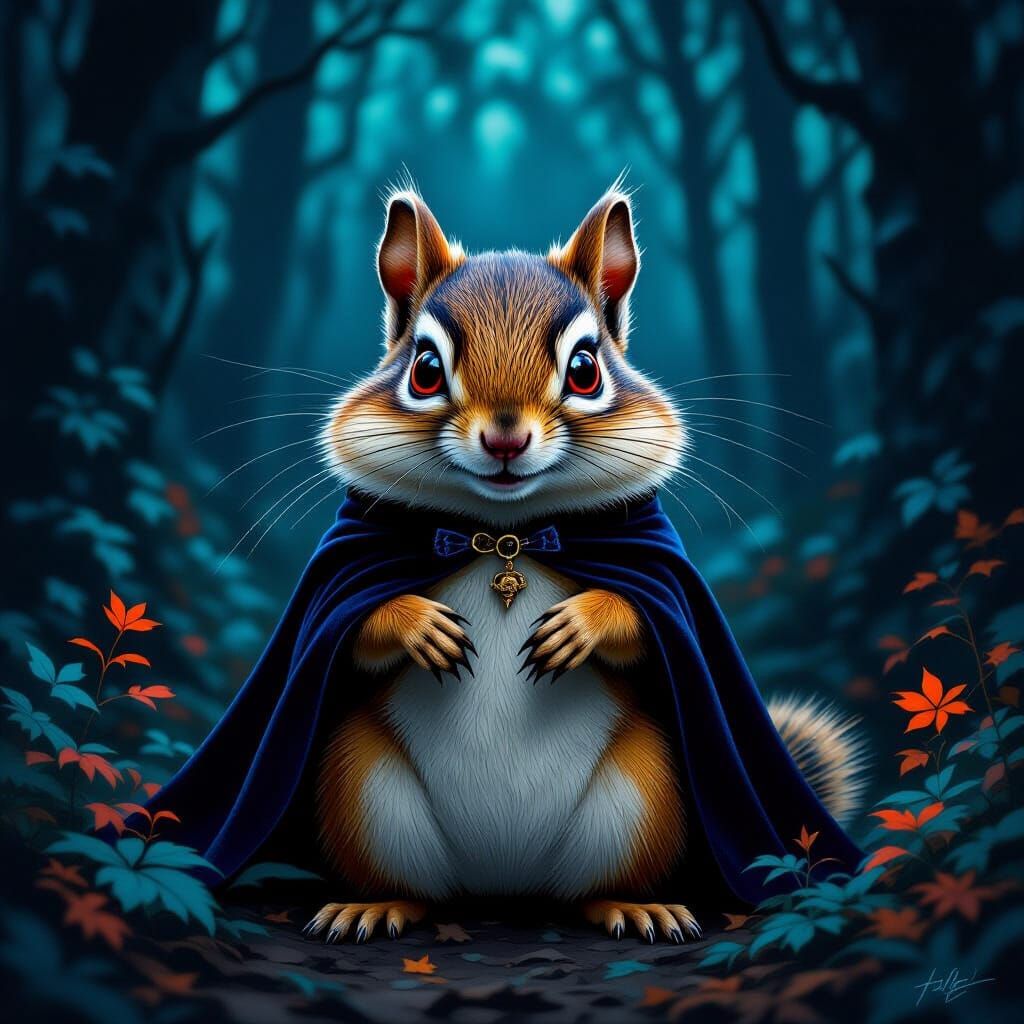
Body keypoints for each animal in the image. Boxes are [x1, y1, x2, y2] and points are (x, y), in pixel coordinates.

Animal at [303, 186, 868, 945]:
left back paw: (635, 907)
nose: (505, 437)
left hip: (645, 791)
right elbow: (353, 634)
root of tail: (502, 887)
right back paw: (374, 904)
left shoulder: (661, 575)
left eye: (585, 369)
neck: (506, 535)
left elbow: (646, 628)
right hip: (359, 785)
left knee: (594, 886)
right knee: (412, 882)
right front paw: (418, 624)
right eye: (423, 370)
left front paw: (582, 624)